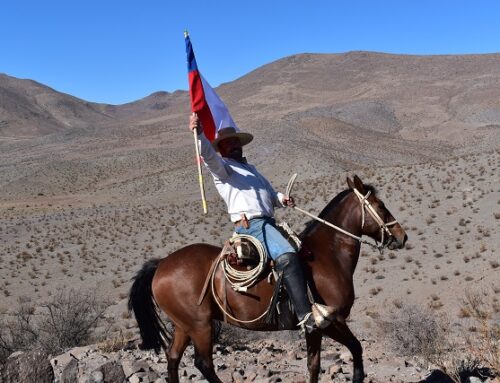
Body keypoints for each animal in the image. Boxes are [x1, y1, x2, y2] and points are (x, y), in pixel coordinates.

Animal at [129, 176, 406, 382]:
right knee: (203, 363)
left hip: (183, 325)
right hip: (200, 326)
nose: (401, 236)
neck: (328, 255)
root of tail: (162, 264)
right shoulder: (329, 321)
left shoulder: (317, 328)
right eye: (381, 205)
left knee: (173, 358)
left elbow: (315, 364)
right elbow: (353, 349)